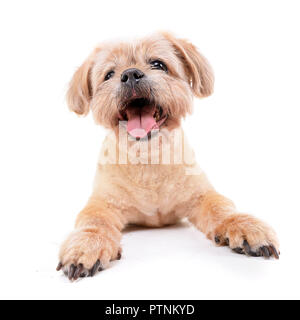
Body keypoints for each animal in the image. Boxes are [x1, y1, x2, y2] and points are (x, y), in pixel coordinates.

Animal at [57, 33, 280, 282]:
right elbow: (94, 221)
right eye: (109, 74)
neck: (149, 160)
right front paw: (87, 244)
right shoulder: (102, 203)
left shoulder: (201, 195)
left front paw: (242, 224)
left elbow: (220, 207)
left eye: (158, 64)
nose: (130, 74)